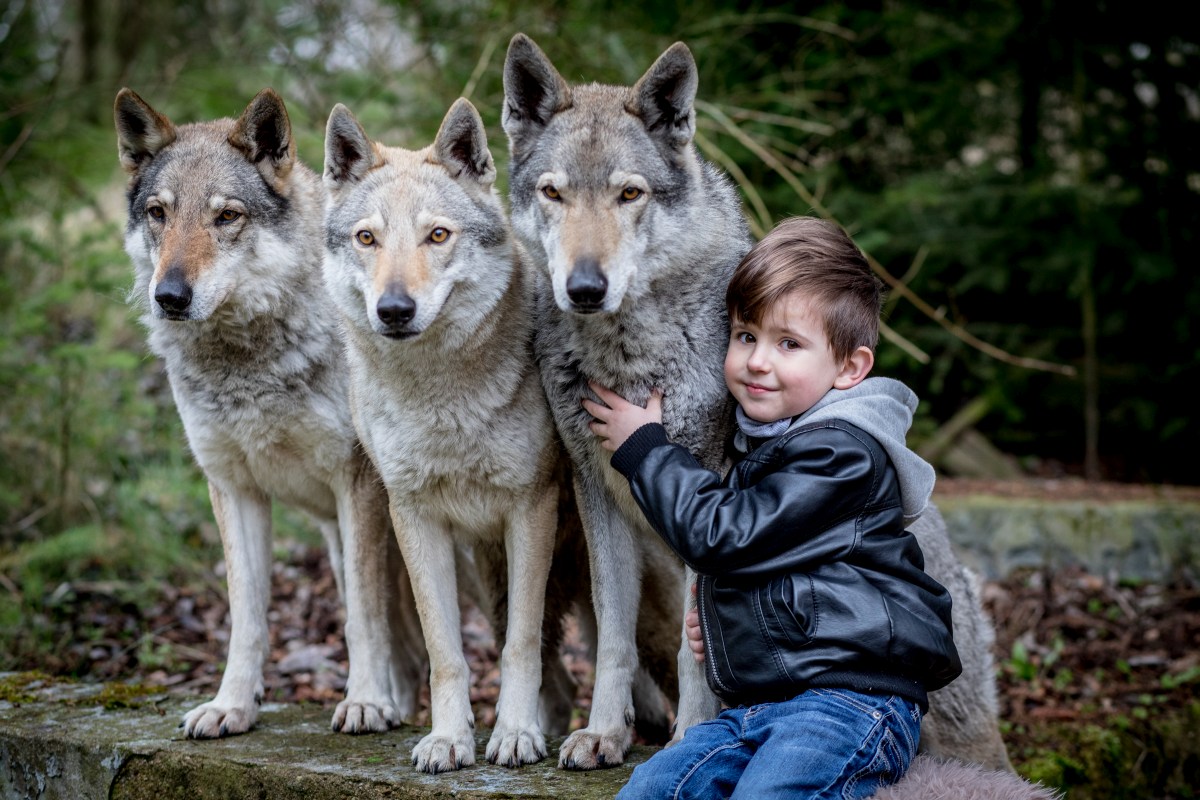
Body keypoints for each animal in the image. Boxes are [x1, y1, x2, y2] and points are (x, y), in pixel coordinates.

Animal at [109, 86, 427, 738]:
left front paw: (363, 702)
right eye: (158, 213)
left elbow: (360, 616)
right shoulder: (233, 488)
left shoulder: (356, 484)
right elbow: (248, 619)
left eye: (226, 217)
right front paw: (231, 705)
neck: (248, 362)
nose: (169, 297)